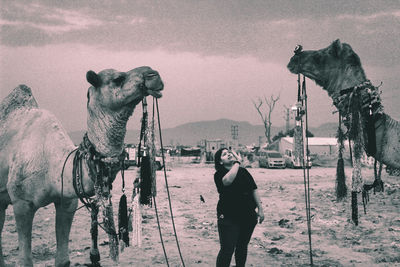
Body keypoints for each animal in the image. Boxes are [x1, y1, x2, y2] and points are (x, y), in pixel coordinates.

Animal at [0, 66, 164, 266]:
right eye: (118, 78)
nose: (153, 74)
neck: (55, 165)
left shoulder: (67, 201)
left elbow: (63, 259)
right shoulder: (21, 203)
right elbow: (25, 260)